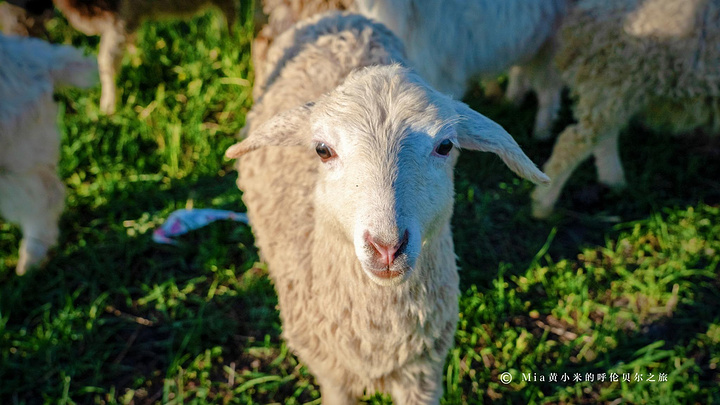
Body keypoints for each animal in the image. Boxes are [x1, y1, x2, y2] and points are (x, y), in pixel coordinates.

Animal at [53, 0, 239, 113]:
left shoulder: (120, 18)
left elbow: (107, 61)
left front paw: (108, 108)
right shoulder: (128, 18)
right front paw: (140, 60)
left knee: (229, 13)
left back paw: (227, 41)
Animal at [222, 12, 548, 400]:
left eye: (445, 146)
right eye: (322, 149)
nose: (387, 247)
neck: (378, 333)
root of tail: (339, 16)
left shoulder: (423, 373)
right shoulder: (331, 373)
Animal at [528, 0, 720, 218]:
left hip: (615, 85)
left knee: (603, 135)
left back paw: (614, 181)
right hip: (616, 75)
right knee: (574, 141)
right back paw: (543, 204)